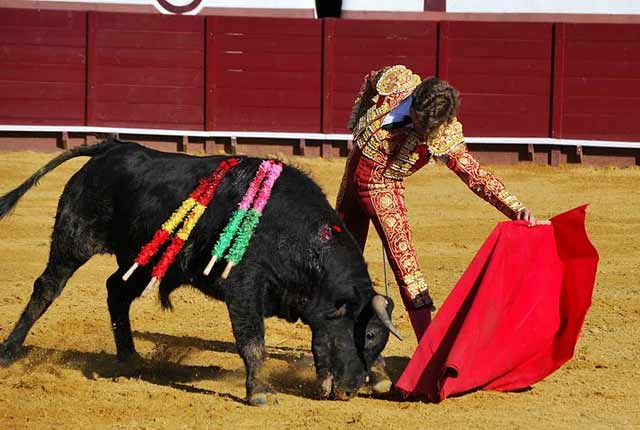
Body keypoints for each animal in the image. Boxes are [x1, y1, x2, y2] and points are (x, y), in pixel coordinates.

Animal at [0, 140, 400, 404]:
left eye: (376, 337)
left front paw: (380, 377)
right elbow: (252, 341)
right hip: (74, 240)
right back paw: (9, 351)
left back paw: (130, 358)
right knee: (46, 289)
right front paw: (260, 393)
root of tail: (110, 148)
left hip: (145, 259)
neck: (299, 238)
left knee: (117, 290)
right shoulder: (243, 288)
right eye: (366, 335)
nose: (350, 390)